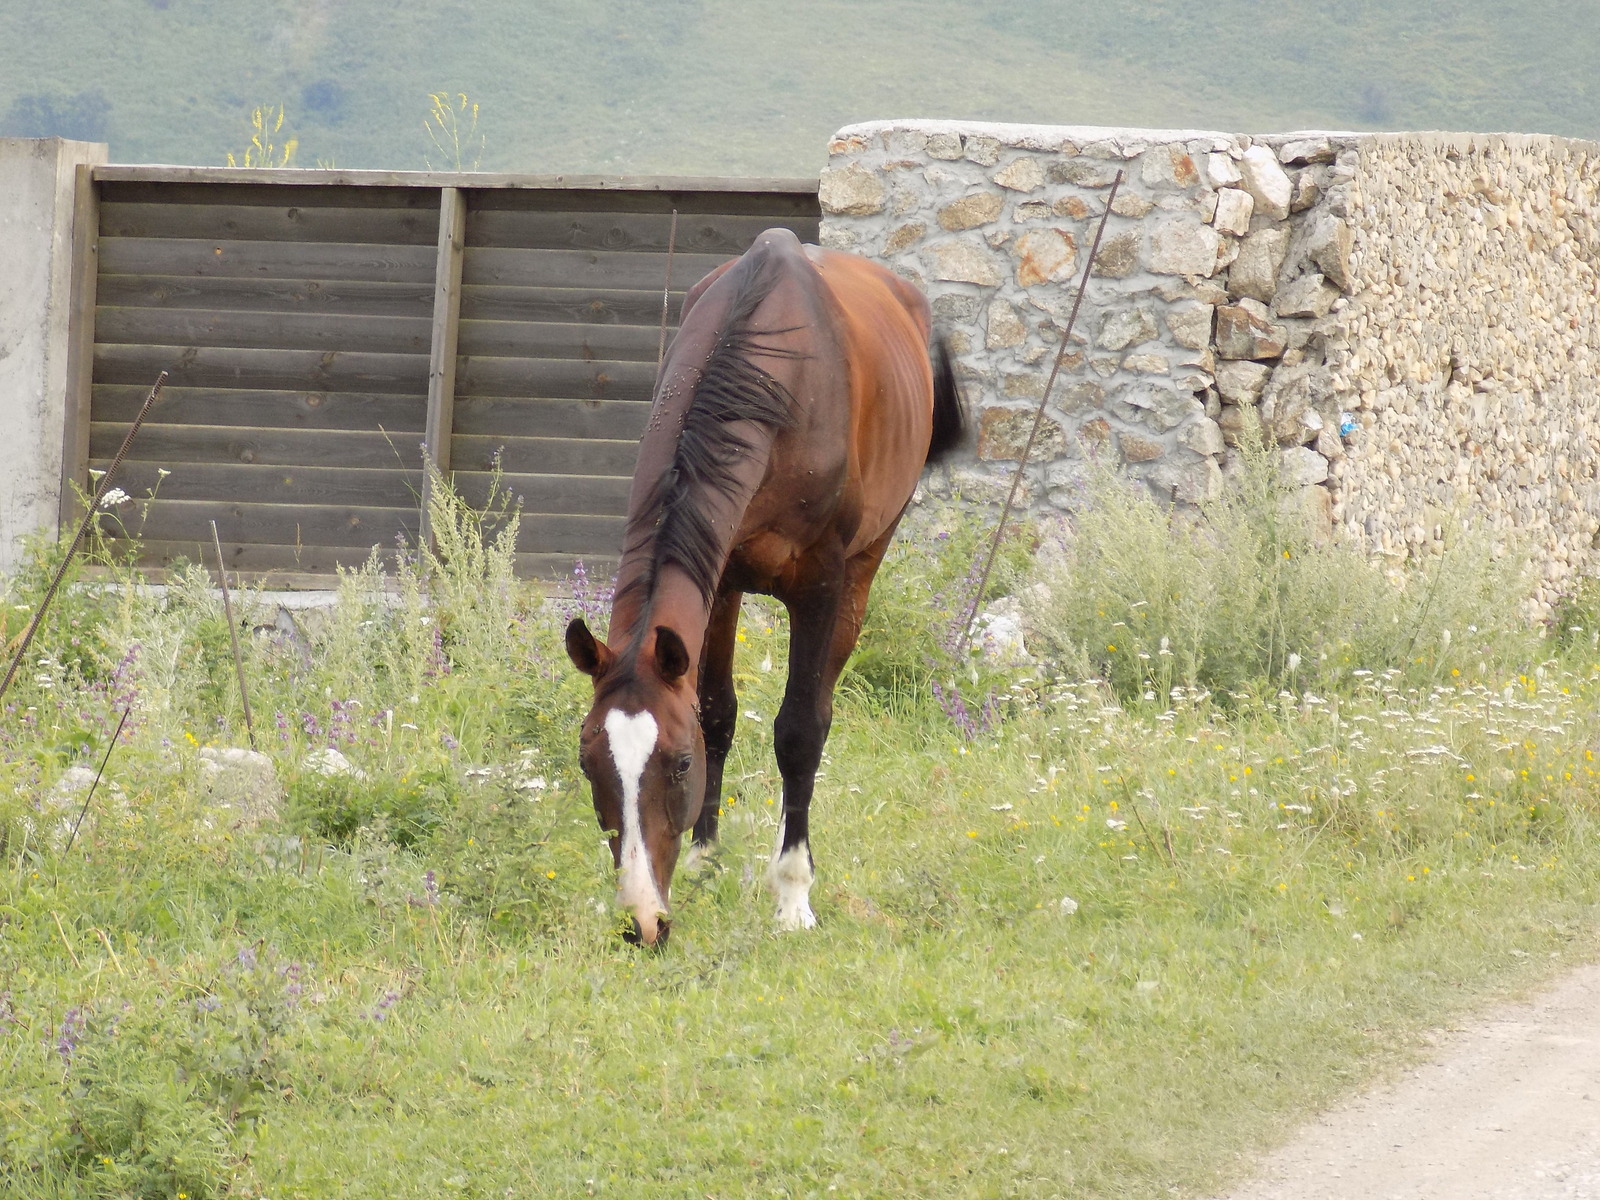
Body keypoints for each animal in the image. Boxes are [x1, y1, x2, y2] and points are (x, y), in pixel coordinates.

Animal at [566, 227, 960, 947]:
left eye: (678, 764)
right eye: (588, 763)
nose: (642, 922)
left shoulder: (822, 581)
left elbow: (800, 730)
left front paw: (794, 894)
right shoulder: (718, 580)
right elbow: (716, 711)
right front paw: (704, 860)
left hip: (863, 569)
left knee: (820, 705)